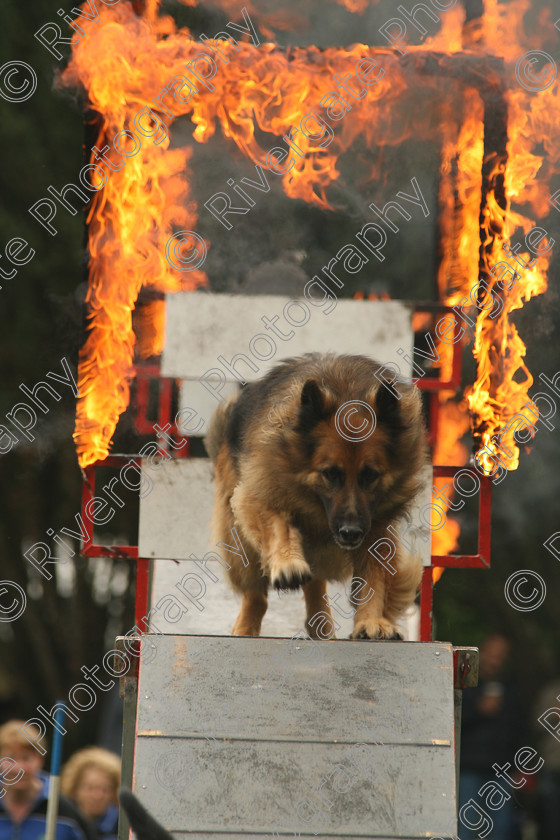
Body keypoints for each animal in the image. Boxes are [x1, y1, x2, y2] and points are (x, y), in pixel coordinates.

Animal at [203, 352, 426, 640]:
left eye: (370, 475)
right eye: (330, 473)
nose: (350, 533)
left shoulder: (377, 524)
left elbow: (374, 576)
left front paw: (372, 621)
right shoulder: (257, 493)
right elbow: (278, 526)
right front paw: (288, 564)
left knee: (316, 583)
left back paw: (321, 623)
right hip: (236, 531)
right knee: (256, 593)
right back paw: (246, 627)